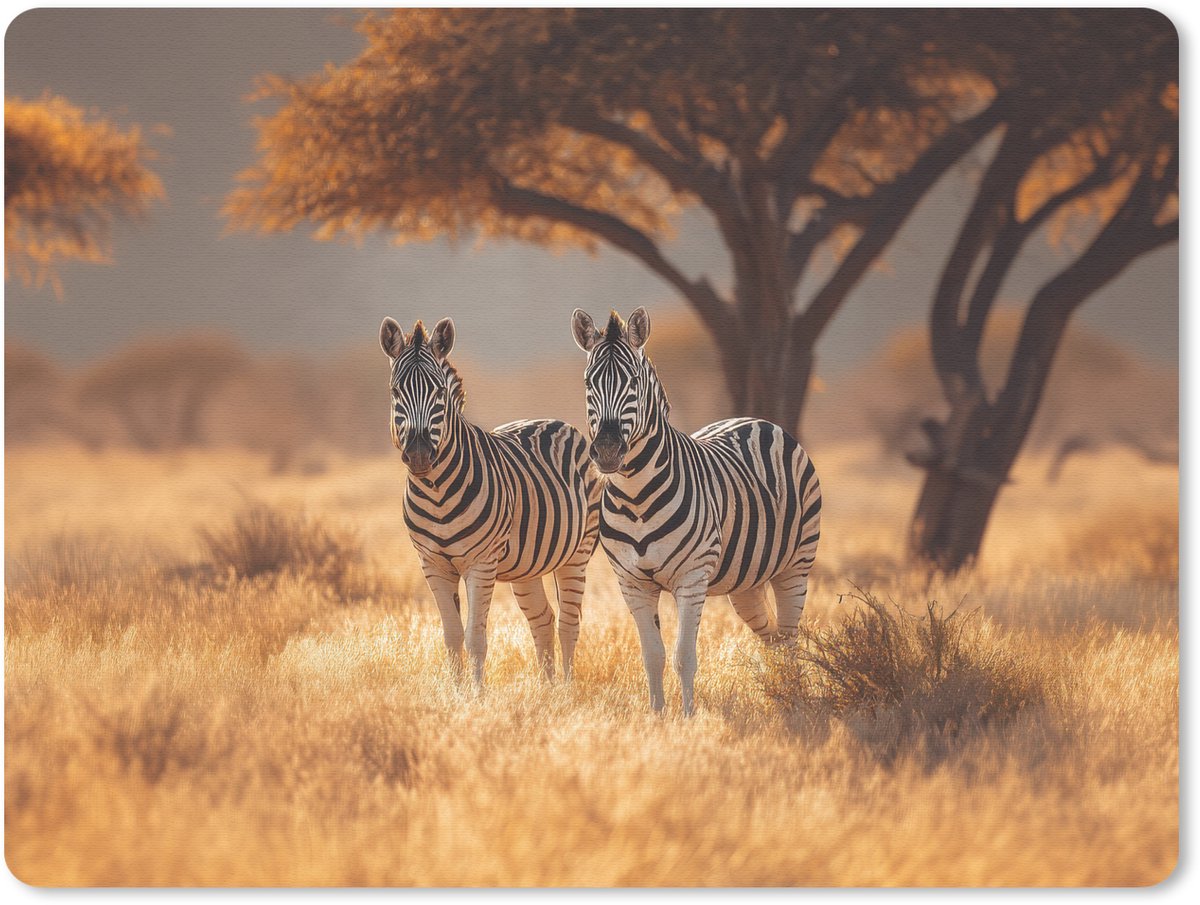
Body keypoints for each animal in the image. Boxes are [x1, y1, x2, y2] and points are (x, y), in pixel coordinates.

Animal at [381, 316, 601, 683]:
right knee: (543, 619)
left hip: (578, 553)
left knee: (569, 624)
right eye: (396, 392)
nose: (419, 454)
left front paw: (476, 694)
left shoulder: (480, 563)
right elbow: (452, 636)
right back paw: (547, 690)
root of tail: (555, 421)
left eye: (439, 392)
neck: (436, 493)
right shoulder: (432, 564)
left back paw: (567, 691)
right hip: (528, 565)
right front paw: (455, 693)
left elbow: (475, 639)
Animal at [571, 307, 821, 715]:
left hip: (796, 564)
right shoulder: (632, 583)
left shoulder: (691, 578)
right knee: (770, 635)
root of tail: (757, 420)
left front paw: (688, 717)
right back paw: (777, 690)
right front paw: (657, 715)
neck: (636, 497)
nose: (607, 450)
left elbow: (683, 656)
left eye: (634, 383)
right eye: (589, 383)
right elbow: (652, 655)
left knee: (788, 637)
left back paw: (794, 698)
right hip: (746, 580)